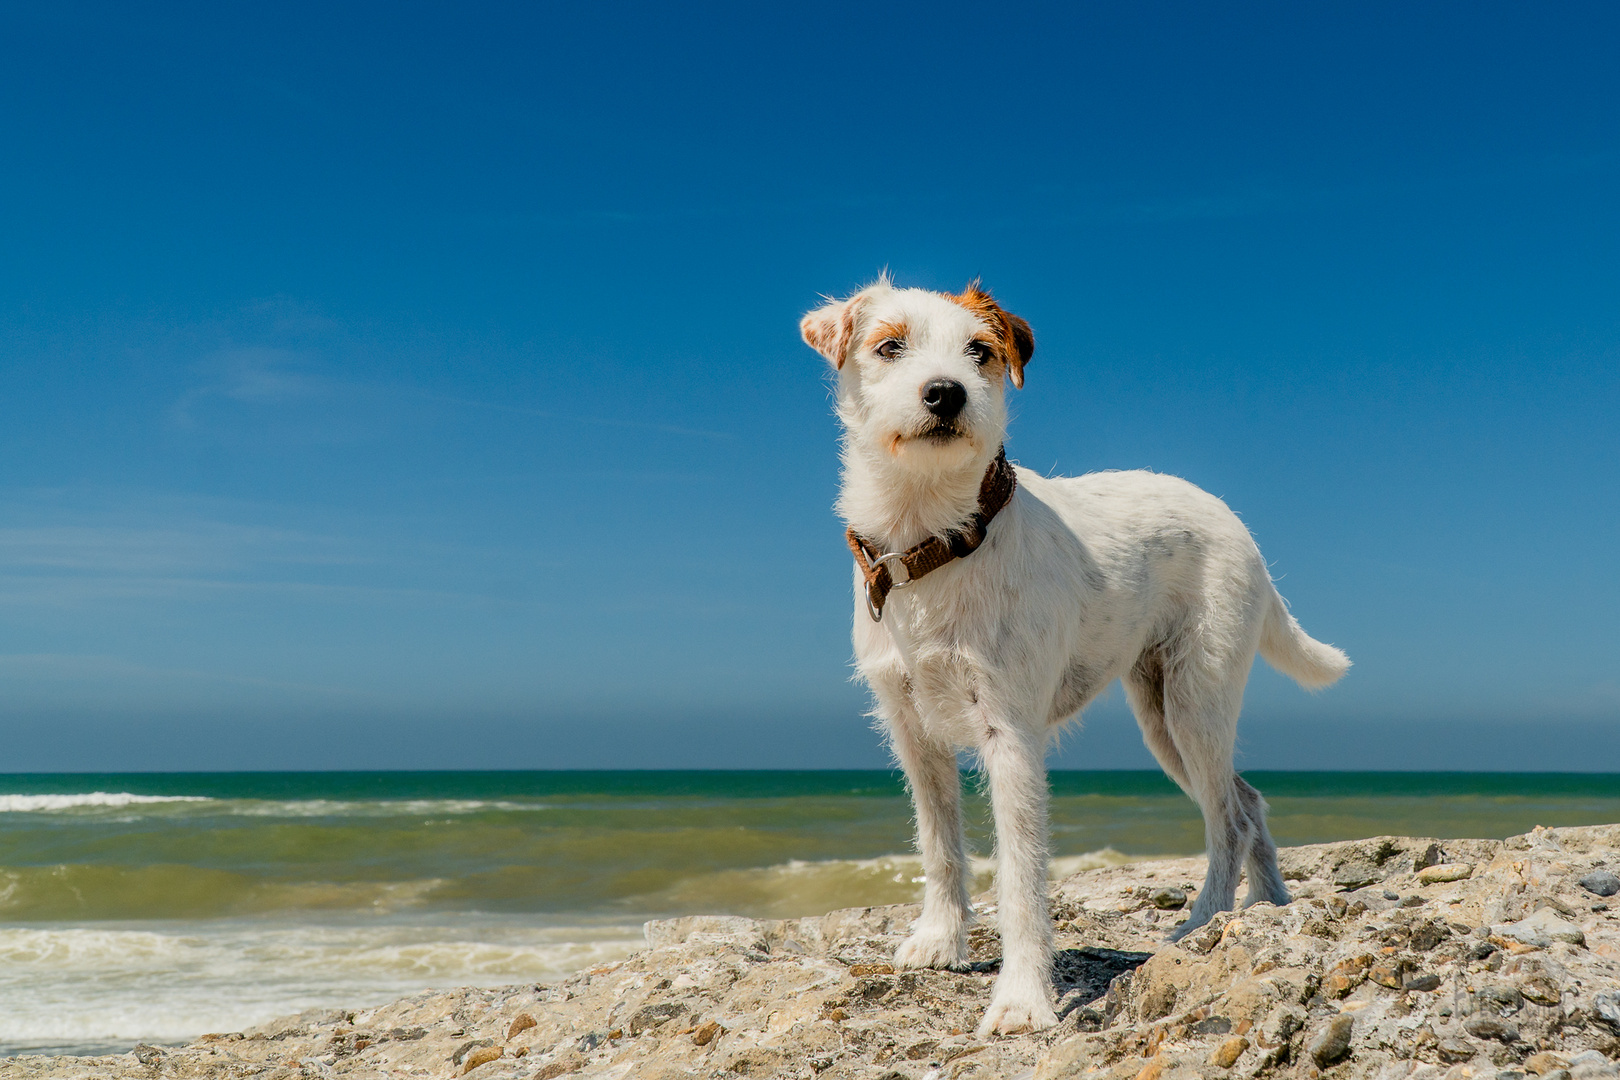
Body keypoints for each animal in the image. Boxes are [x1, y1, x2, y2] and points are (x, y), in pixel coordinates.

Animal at [800, 278, 1354, 1036]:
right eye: (889, 345)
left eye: (980, 352)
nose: (945, 393)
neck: (935, 535)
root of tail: (1241, 529)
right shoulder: (914, 734)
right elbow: (939, 846)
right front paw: (941, 940)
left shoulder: (1011, 735)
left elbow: (1021, 878)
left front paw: (1021, 1000)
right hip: (1162, 716)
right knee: (1248, 798)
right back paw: (1267, 907)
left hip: (1195, 701)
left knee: (1229, 819)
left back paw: (1201, 925)